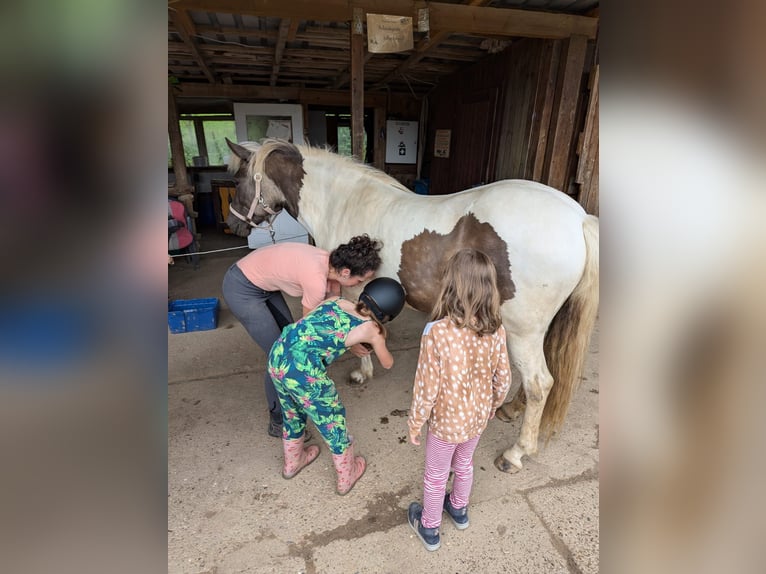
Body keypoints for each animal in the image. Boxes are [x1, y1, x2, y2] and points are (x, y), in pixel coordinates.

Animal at [225, 138, 604, 472]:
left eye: (237, 179)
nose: (232, 223)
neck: (343, 200)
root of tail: (577, 218)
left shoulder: (352, 290)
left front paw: (363, 371)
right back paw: (511, 409)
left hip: (523, 332)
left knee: (539, 383)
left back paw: (516, 453)